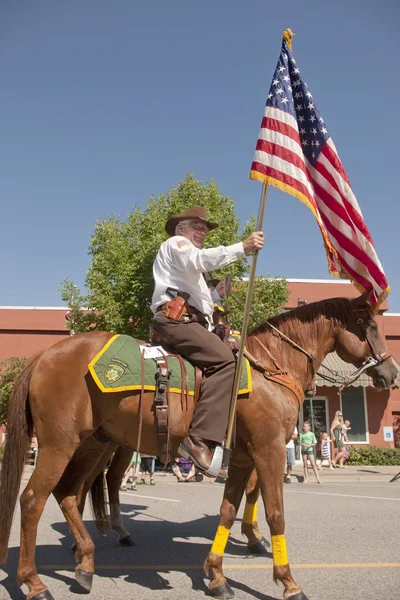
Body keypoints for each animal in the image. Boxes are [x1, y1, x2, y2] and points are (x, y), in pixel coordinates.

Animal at [0, 292, 396, 596]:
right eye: (370, 325)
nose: (391, 373)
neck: (271, 368)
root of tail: (44, 355)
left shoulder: (241, 458)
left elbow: (228, 509)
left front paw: (218, 575)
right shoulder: (268, 450)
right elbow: (275, 513)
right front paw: (288, 582)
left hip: (92, 444)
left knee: (70, 493)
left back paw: (84, 562)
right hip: (60, 445)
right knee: (34, 499)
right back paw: (35, 583)